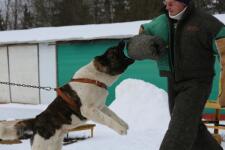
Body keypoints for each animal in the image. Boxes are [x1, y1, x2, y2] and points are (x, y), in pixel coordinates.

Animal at [0, 40, 134, 150]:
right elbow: (108, 119)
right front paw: (121, 129)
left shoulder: (100, 107)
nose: (122, 41)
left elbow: (113, 115)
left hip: (55, 146)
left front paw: (124, 125)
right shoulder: (88, 110)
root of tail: (35, 122)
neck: (95, 79)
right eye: (114, 50)